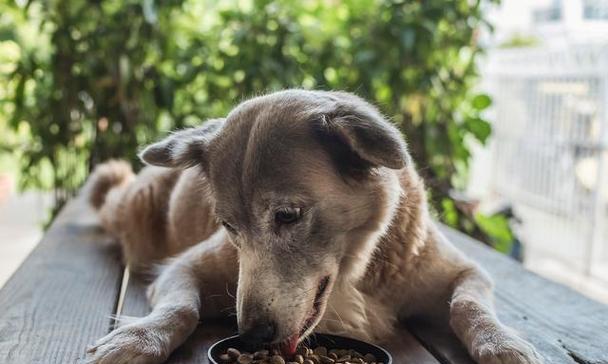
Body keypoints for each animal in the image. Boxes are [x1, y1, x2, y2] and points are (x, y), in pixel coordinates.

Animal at [83, 89, 540, 364]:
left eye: (288, 215)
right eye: (229, 225)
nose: (253, 335)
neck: (359, 265)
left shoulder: (466, 273)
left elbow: (468, 305)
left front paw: (501, 342)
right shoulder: (181, 268)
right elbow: (180, 307)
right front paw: (138, 337)